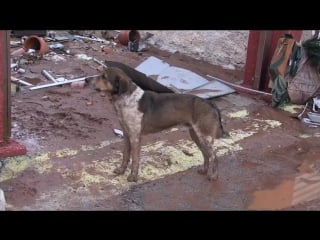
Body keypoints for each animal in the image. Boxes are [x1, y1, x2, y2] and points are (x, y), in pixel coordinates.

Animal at [89, 66, 228, 182]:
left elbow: (135, 159)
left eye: (104, 76)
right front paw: (121, 171)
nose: (86, 79)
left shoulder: (135, 137)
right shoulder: (126, 135)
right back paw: (204, 170)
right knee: (206, 154)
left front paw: (133, 177)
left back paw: (214, 176)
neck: (126, 99)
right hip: (196, 135)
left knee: (215, 157)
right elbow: (125, 155)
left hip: (205, 136)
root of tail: (210, 103)